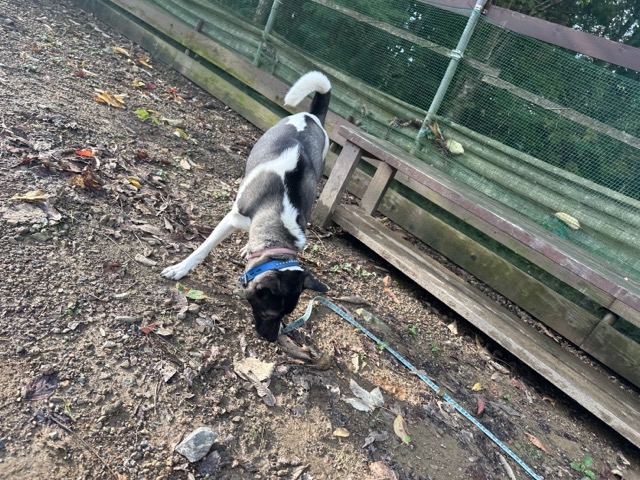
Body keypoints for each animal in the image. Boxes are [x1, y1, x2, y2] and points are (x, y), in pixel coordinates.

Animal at [162, 71, 332, 342]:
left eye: (287, 314)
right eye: (269, 312)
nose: (273, 338)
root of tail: (310, 115)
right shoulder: (232, 219)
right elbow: (202, 250)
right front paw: (181, 268)